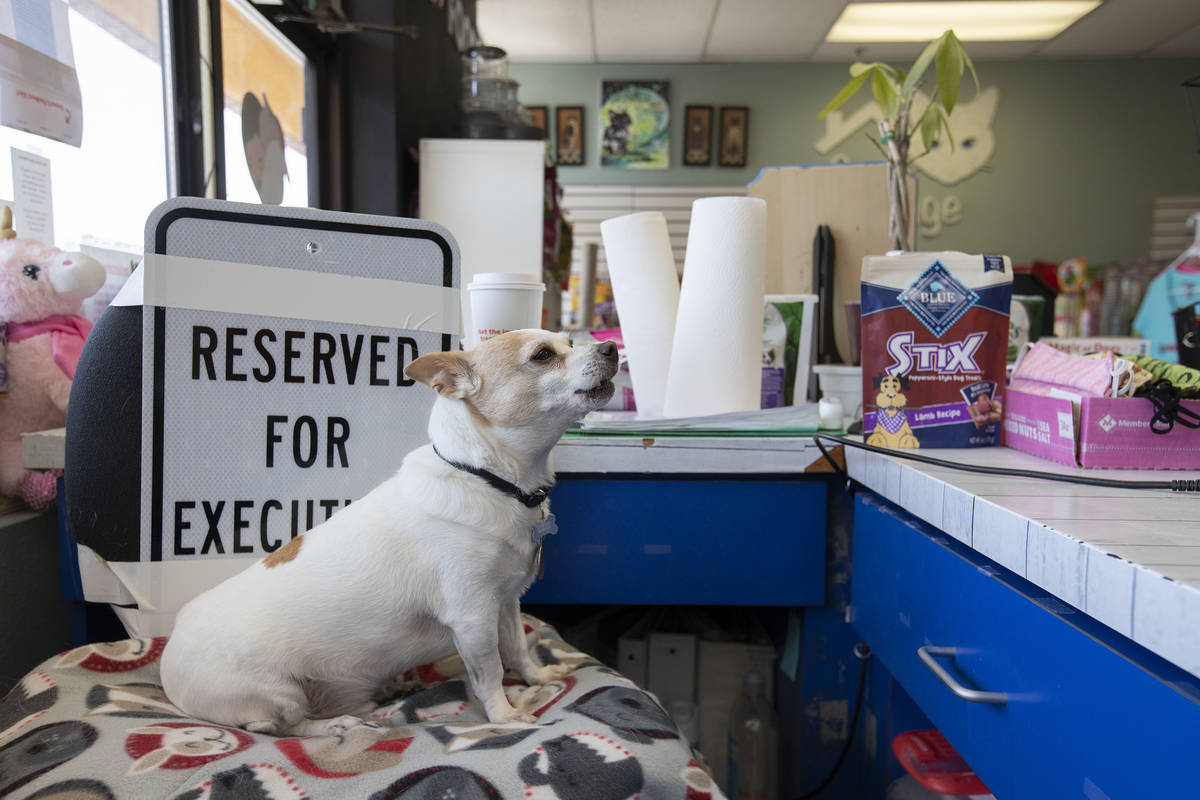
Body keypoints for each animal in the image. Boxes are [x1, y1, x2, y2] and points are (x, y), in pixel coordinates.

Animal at [159, 328, 619, 734]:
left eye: (571, 341)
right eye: (542, 355)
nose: (613, 347)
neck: (489, 480)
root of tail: (167, 660)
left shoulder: (505, 604)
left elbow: (518, 648)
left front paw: (537, 678)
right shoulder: (473, 618)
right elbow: (489, 672)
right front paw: (503, 715)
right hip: (279, 693)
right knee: (282, 726)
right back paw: (338, 724)